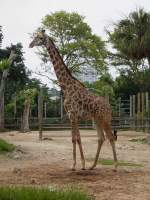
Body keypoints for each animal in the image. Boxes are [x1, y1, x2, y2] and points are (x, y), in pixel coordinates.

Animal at [29, 29, 118, 170]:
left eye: (40, 38)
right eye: (35, 36)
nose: (30, 44)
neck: (66, 87)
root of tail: (109, 107)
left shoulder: (73, 114)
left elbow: (75, 139)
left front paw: (76, 164)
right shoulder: (73, 115)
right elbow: (76, 138)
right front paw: (80, 164)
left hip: (104, 119)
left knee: (110, 137)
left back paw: (115, 166)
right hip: (96, 119)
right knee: (101, 138)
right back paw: (93, 165)